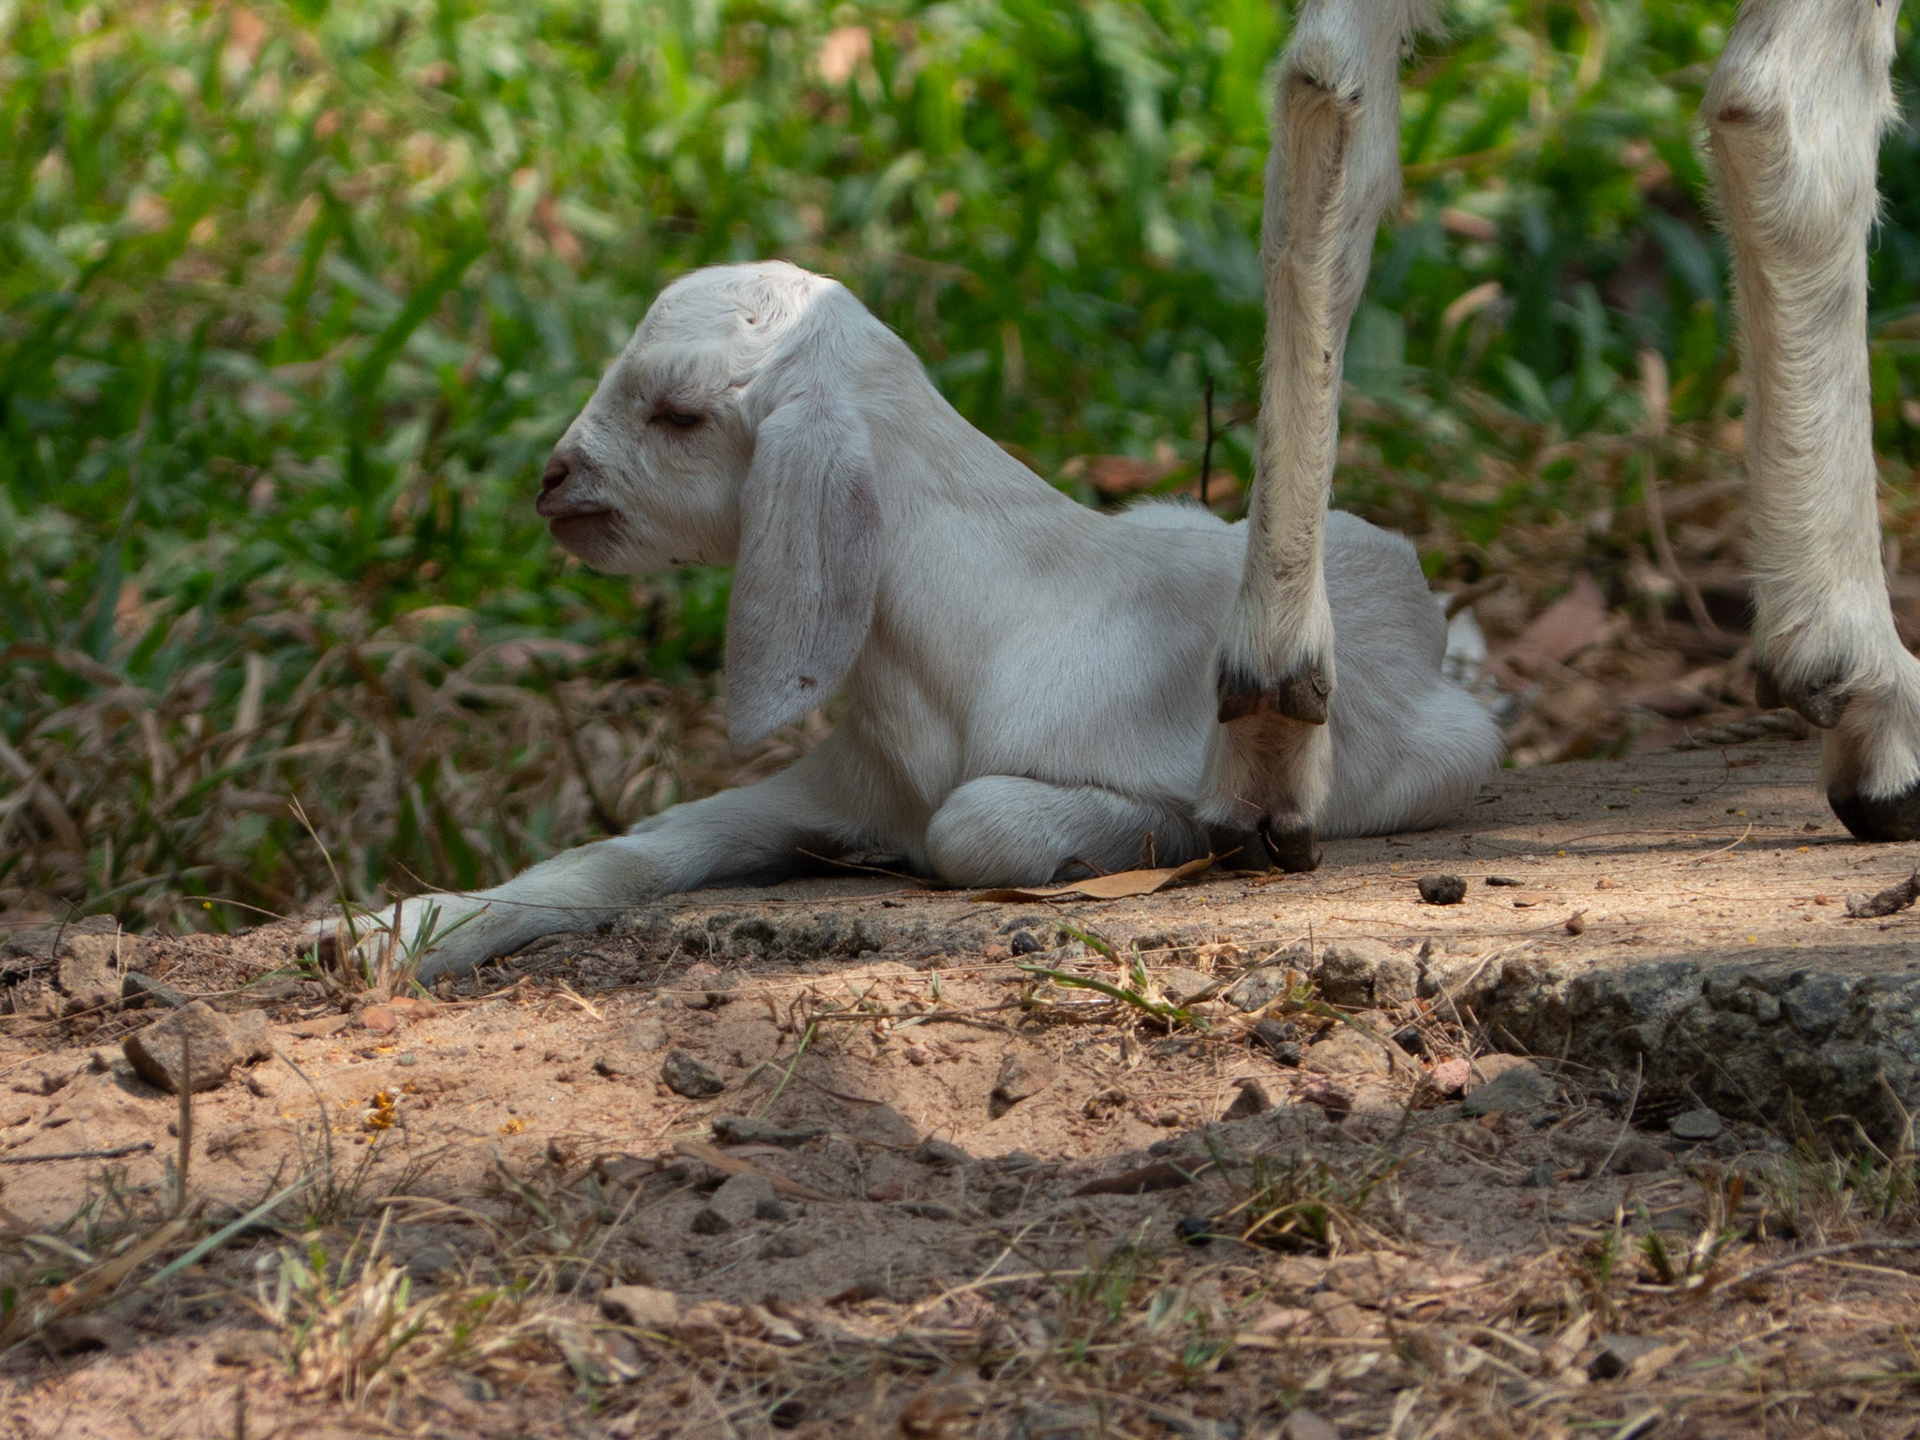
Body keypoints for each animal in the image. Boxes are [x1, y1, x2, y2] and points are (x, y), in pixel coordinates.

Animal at [321, 259, 1501, 979]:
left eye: (679, 414)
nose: (553, 483)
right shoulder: (843, 785)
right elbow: (638, 849)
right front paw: (392, 931)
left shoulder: (1182, 777)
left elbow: (974, 827)